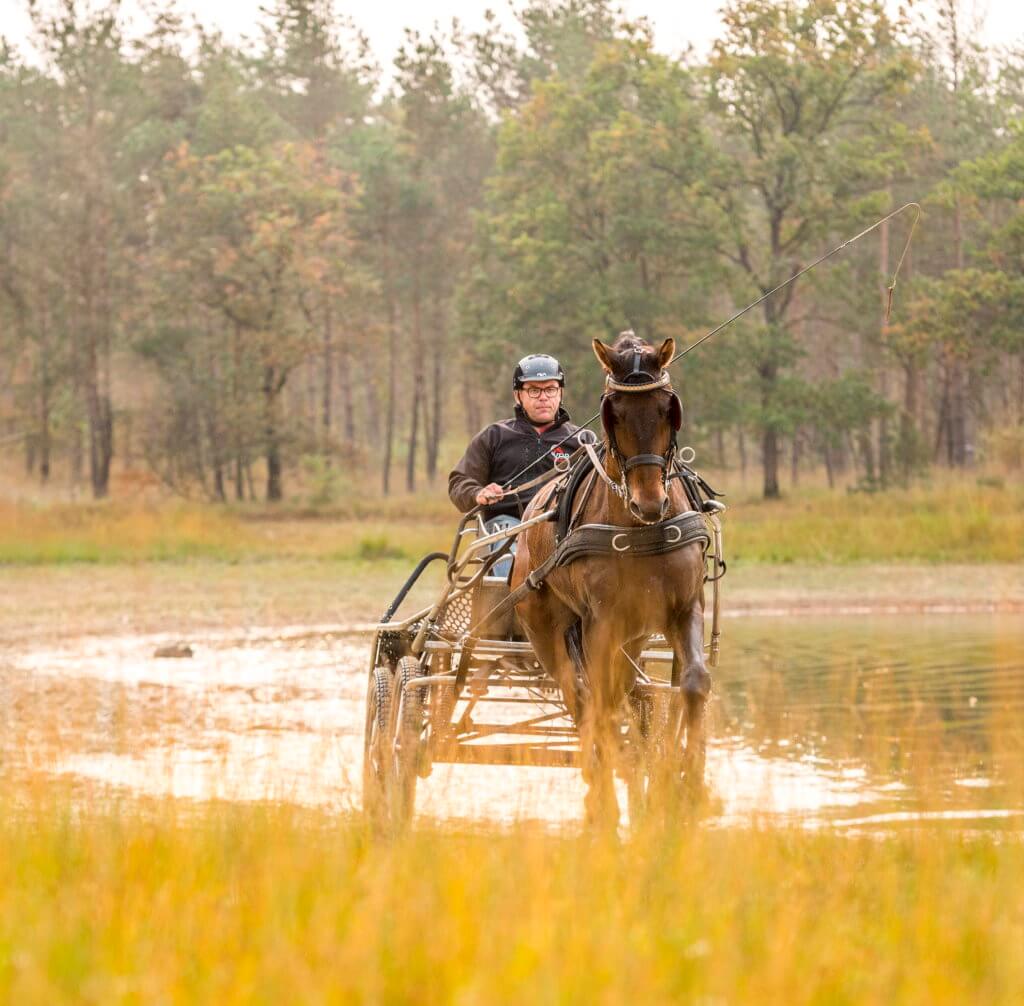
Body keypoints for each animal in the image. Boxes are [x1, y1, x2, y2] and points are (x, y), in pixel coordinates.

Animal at [512, 333, 712, 831]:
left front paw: (691, 785)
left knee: (617, 698)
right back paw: (597, 785)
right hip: (549, 632)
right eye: (613, 412)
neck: (641, 529)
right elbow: (598, 705)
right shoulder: (600, 622)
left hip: (632, 638)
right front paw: (605, 796)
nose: (649, 501)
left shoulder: (685, 607)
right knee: (582, 700)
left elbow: (695, 682)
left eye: (667, 407)